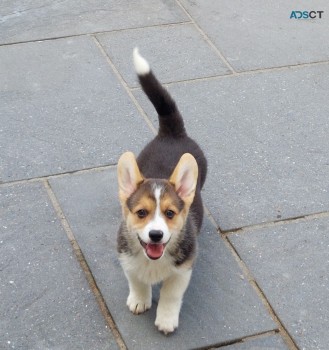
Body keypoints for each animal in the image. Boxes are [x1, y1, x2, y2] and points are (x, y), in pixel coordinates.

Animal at [116, 48, 206, 334]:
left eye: (169, 214)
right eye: (141, 213)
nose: (155, 235)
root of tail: (172, 132)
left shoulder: (183, 271)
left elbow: (170, 295)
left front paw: (166, 320)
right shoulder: (127, 261)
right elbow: (137, 281)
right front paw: (139, 300)